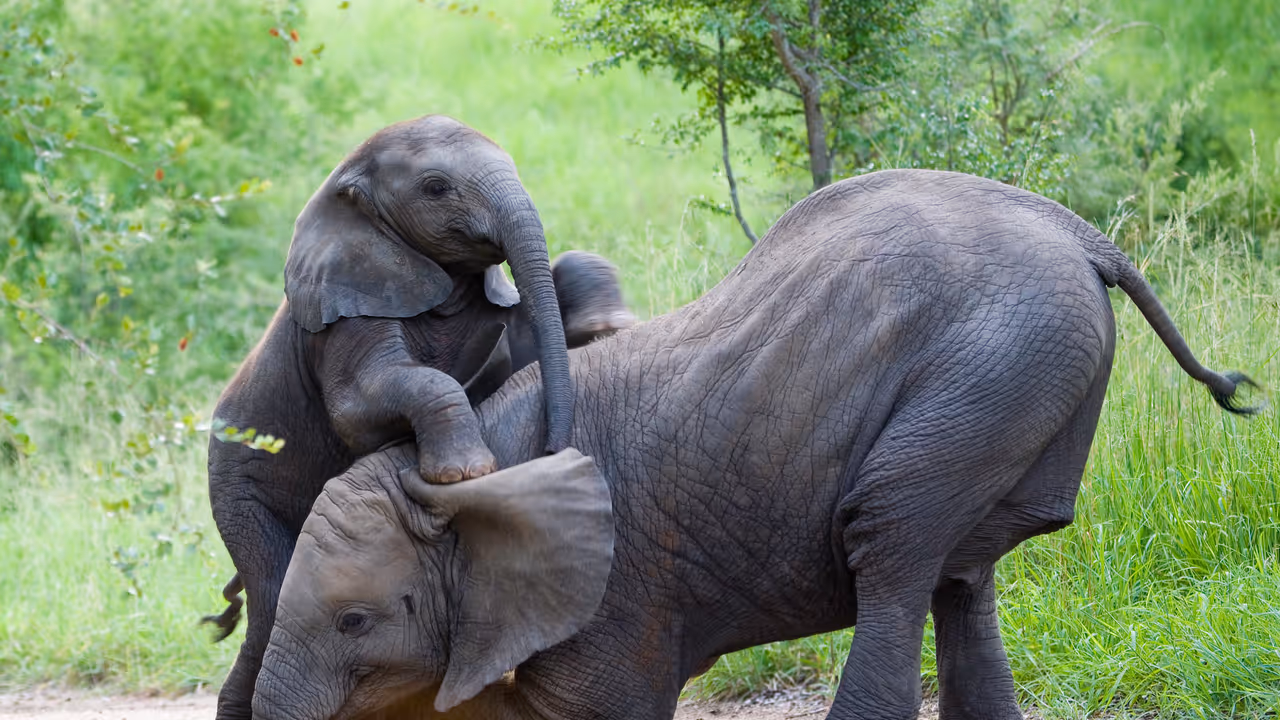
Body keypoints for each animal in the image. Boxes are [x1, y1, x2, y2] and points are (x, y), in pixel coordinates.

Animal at [205, 115, 635, 720]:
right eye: (435, 187)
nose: (554, 446)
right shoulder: (348, 309)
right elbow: (359, 412)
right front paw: (464, 473)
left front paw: (607, 327)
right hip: (237, 492)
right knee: (269, 597)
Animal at [250, 170, 1259, 720]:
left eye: (355, 621)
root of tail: (1079, 231)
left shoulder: (614, 595)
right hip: (1018, 381)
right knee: (963, 584)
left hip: (988, 372)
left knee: (892, 542)